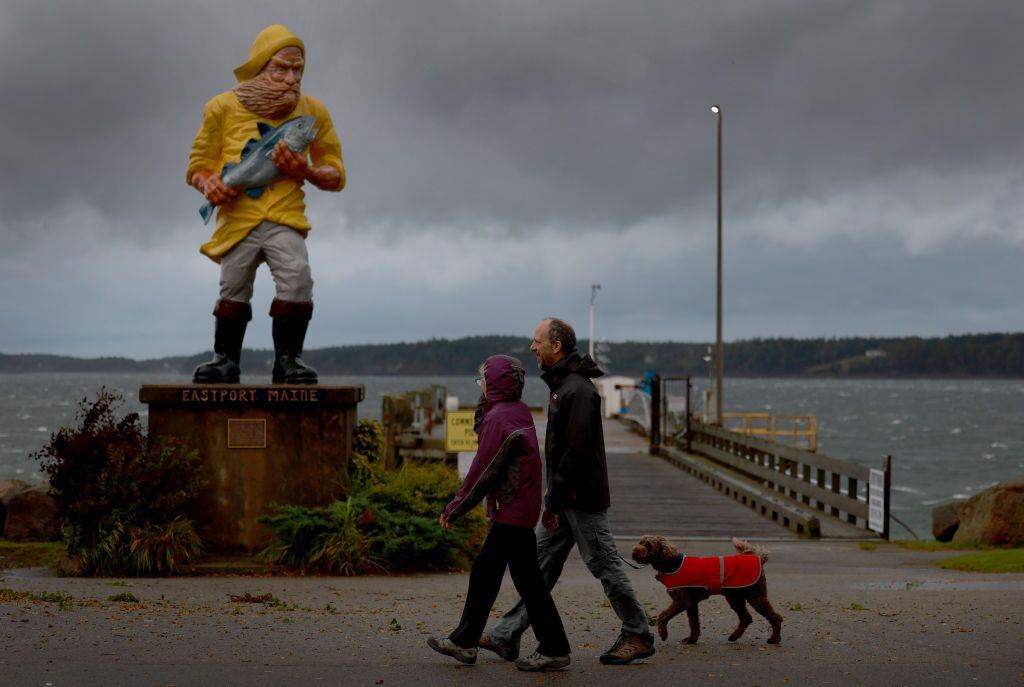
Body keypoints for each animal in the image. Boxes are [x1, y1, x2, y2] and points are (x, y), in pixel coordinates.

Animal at [630, 536, 782, 647]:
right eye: (640, 542)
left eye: (648, 545)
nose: (634, 551)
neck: (671, 563)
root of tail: (758, 557)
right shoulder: (691, 604)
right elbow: (694, 623)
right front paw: (691, 639)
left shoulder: (682, 601)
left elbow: (663, 616)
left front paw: (663, 633)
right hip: (735, 598)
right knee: (746, 618)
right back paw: (734, 636)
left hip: (755, 596)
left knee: (775, 617)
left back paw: (774, 639)